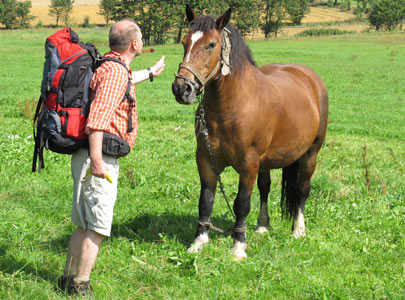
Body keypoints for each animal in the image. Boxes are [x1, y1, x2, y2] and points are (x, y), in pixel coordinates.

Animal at [171, 6, 328, 260]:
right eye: (185, 42)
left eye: (212, 44)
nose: (182, 88)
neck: (231, 108)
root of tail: (310, 78)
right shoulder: (205, 160)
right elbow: (205, 200)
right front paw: (199, 241)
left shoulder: (248, 164)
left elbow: (242, 203)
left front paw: (238, 245)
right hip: (266, 162)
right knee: (265, 188)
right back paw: (262, 226)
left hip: (310, 154)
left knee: (302, 190)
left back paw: (298, 229)